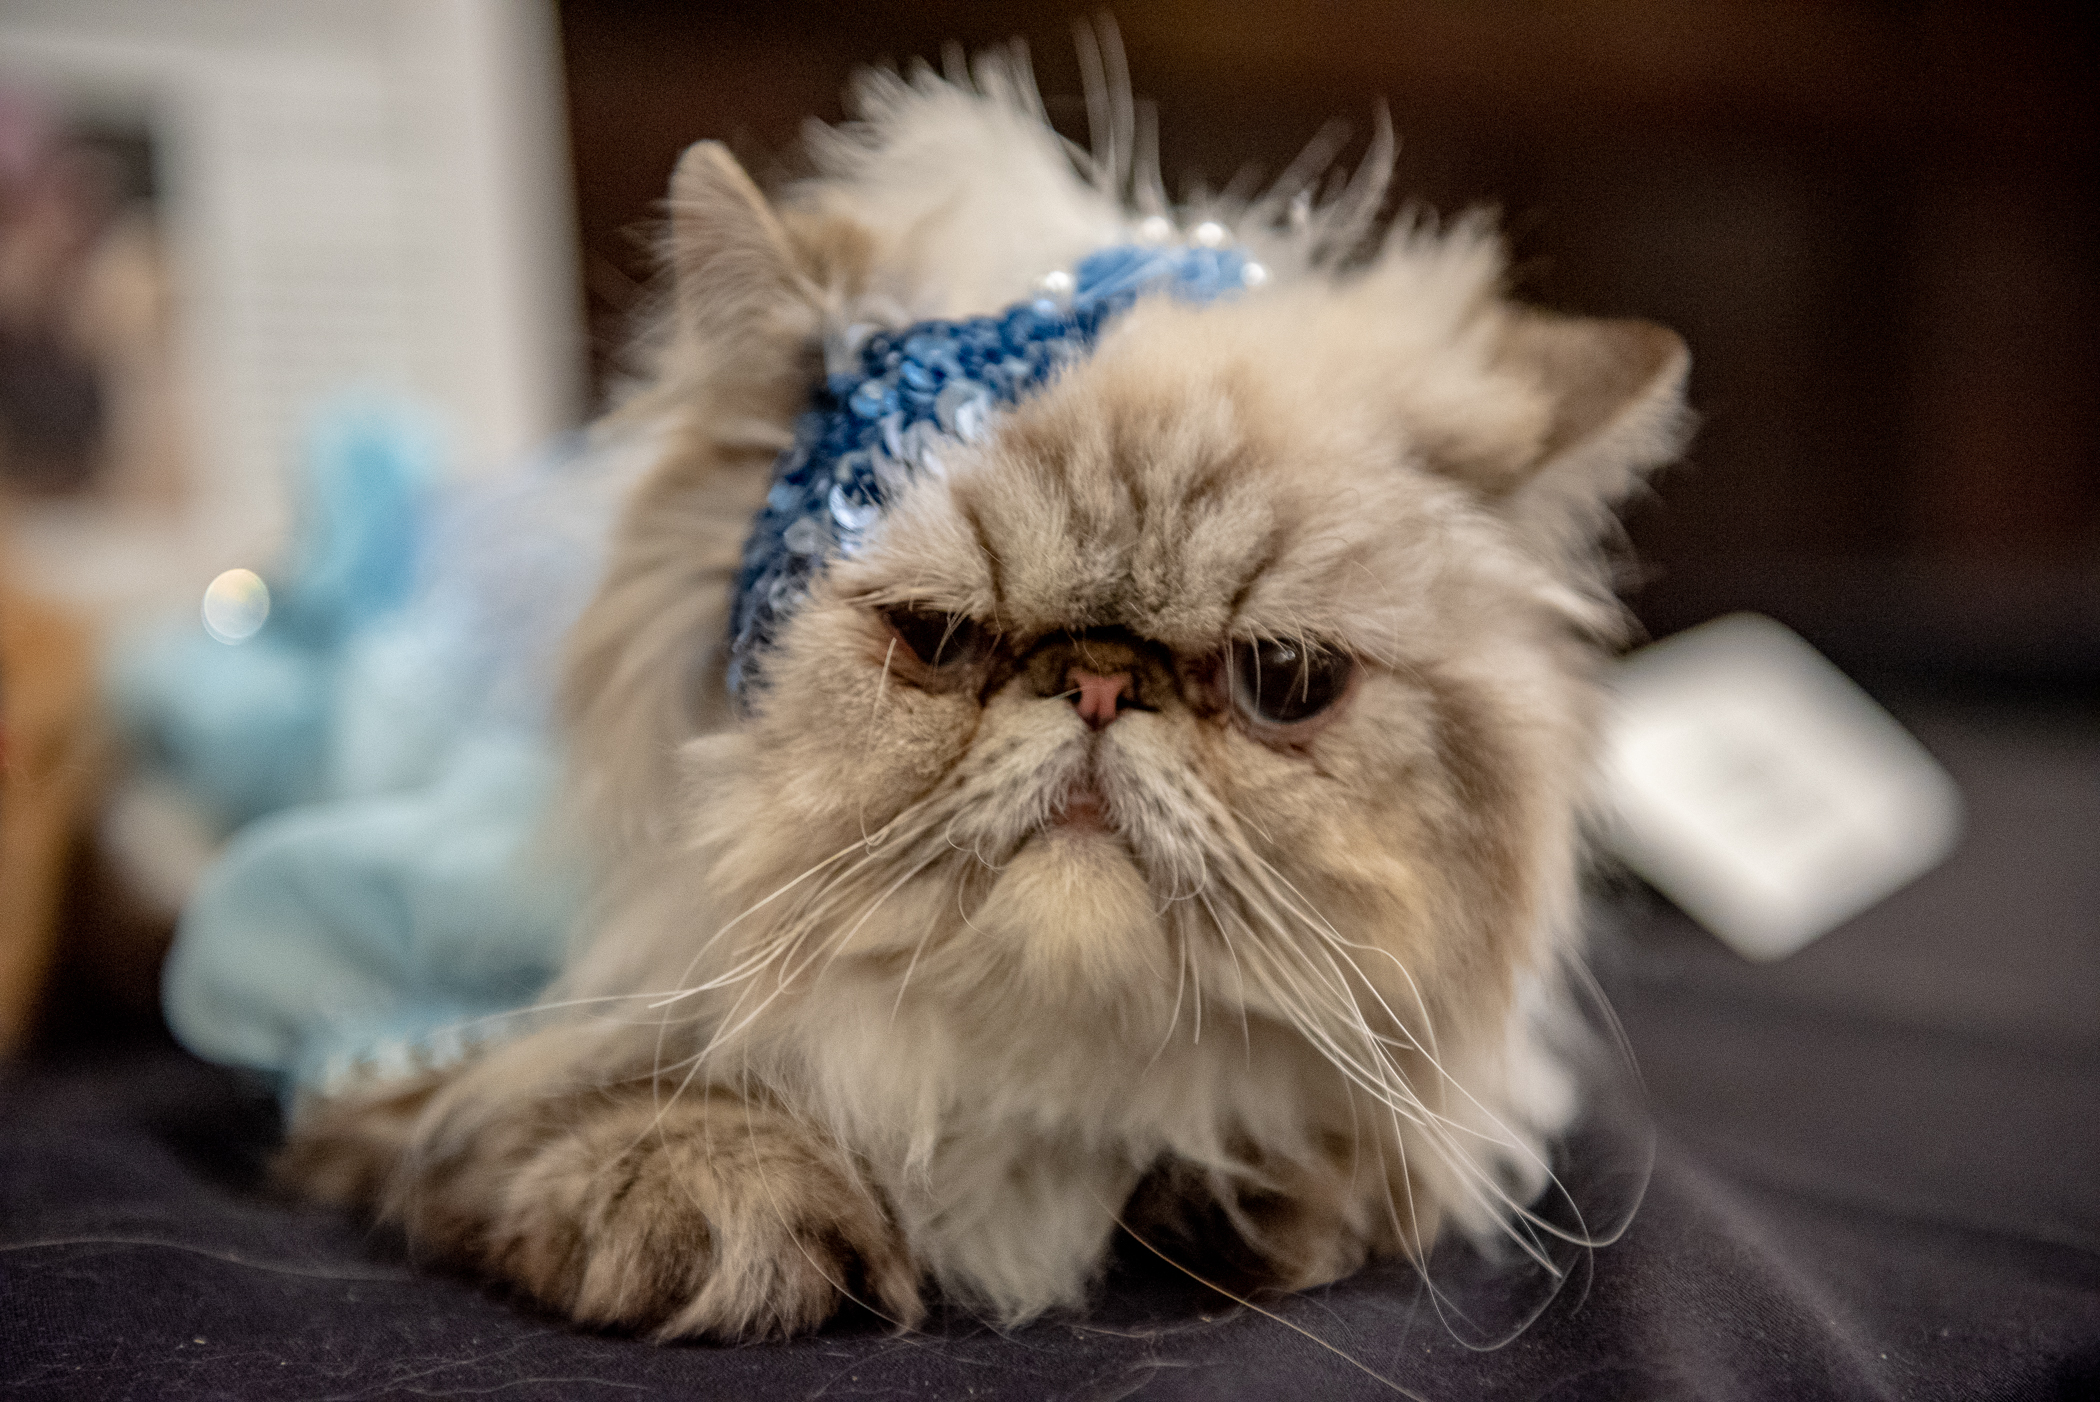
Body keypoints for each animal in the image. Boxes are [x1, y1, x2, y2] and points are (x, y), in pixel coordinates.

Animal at [279, 43, 1688, 1343]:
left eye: (1282, 679)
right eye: (941, 639)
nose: (1102, 682)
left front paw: (1247, 1202)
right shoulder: (407, 1031)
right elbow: (592, 1100)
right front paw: (728, 1215)